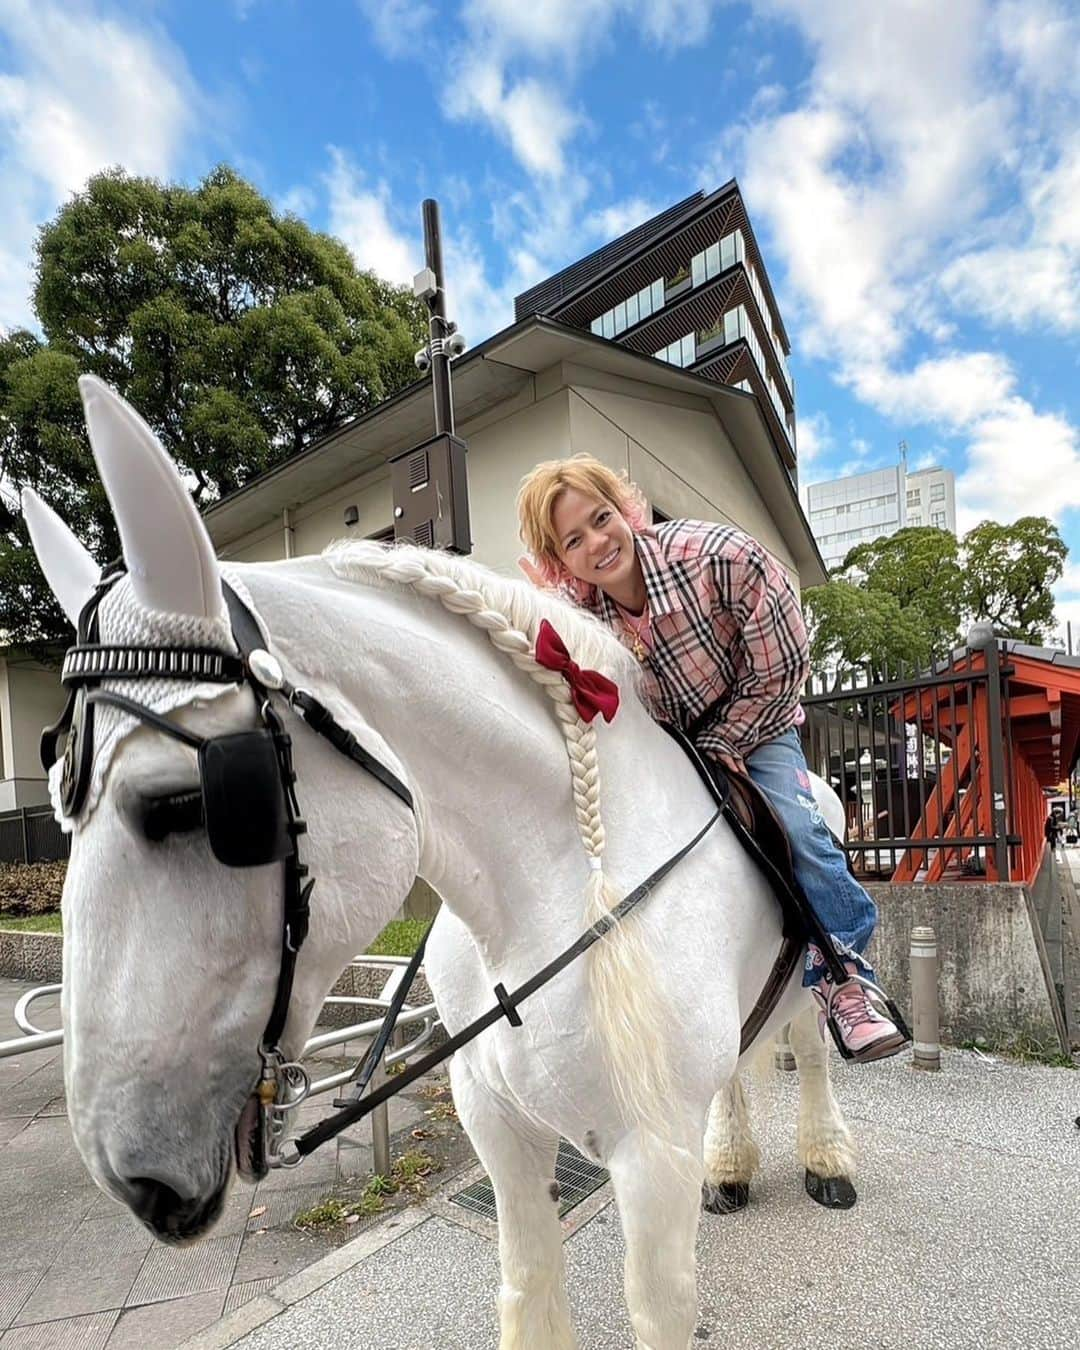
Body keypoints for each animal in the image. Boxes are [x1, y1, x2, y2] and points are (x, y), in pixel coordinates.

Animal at [23, 378, 853, 1350]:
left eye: (182, 804)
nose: (133, 1177)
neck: (544, 905)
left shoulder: (652, 1154)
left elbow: (659, 1309)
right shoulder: (498, 1125)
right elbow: (529, 1286)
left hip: (808, 976)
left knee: (812, 1041)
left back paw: (828, 1153)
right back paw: (730, 1166)